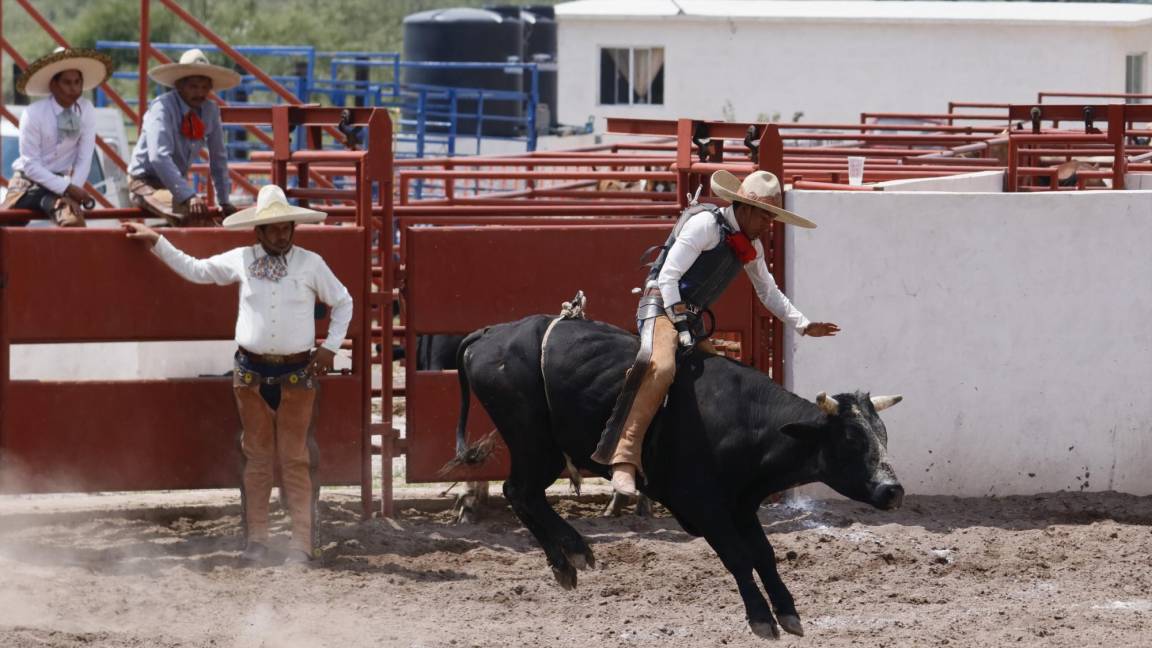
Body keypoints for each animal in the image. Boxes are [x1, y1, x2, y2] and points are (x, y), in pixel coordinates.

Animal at [453, 313, 903, 636]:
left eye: (883, 434)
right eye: (850, 439)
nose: (893, 490)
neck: (743, 421)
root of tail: (490, 333)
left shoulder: (741, 505)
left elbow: (763, 554)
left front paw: (788, 612)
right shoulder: (703, 506)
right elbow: (738, 556)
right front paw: (761, 618)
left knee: (525, 494)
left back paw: (569, 558)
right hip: (533, 443)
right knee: (519, 491)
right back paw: (571, 556)